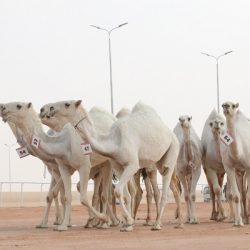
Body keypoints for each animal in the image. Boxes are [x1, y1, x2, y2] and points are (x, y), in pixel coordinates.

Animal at [0, 102, 108, 230]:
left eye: (18, 105)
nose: (2, 107)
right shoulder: (57, 168)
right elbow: (59, 195)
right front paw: (57, 224)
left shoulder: (82, 166)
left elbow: (71, 195)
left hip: (108, 163)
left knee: (105, 193)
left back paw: (105, 222)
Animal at [45, 99, 180, 230]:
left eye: (67, 104)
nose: (48, 109)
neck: (114, 142)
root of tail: (169, 131)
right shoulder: (118, 167)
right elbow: (123, 194)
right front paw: (127, 224)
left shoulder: (132, 165)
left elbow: (118, 191)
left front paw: (127, 221)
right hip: (158, 161)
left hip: (173, 148)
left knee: (165, 183)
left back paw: (157, 224)